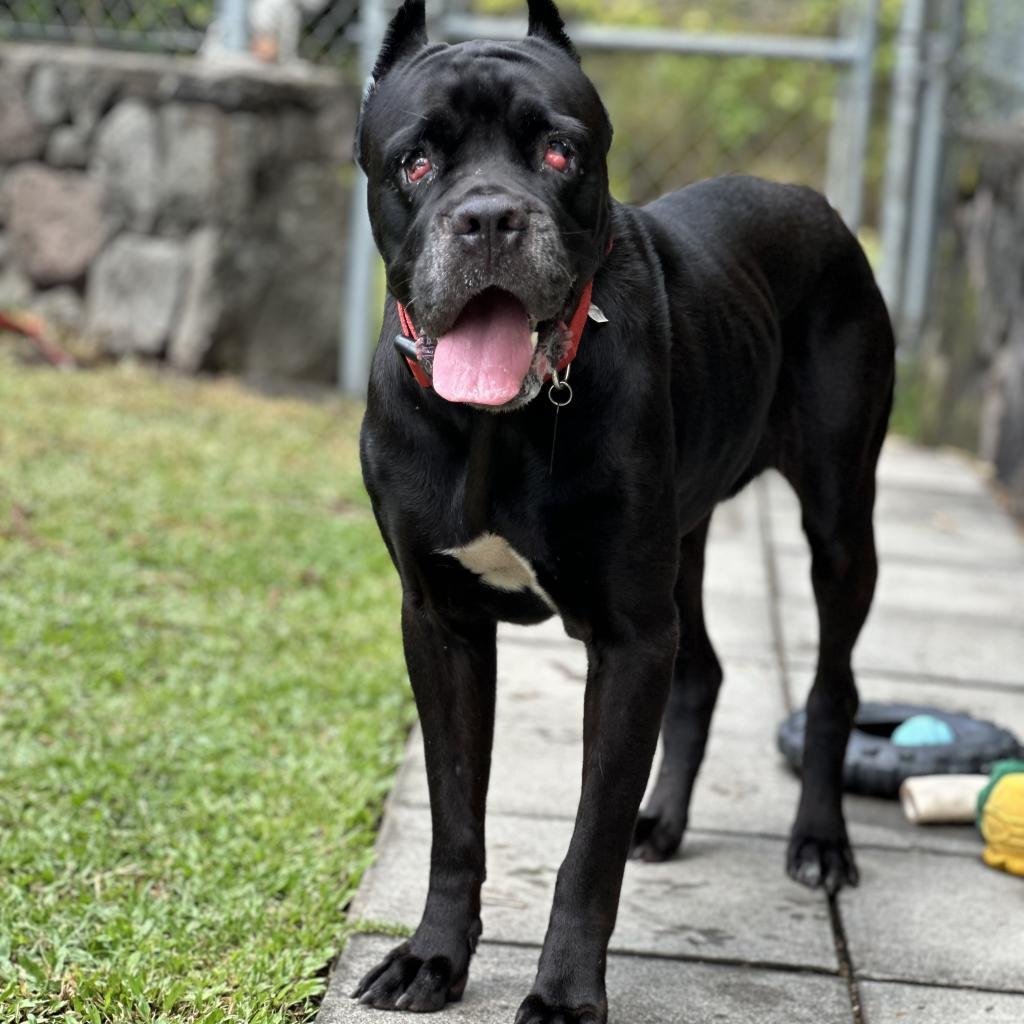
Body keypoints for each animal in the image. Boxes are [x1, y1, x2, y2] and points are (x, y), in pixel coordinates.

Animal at [350, 4, 888, 1019]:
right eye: (417, 161)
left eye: (560, 152)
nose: (490, 218)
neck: (499, 426)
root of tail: (818, 204)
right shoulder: (440, 624)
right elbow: (454, 815)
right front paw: (433, 957)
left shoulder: (630, 636)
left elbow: (588, 846)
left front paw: (564, 993)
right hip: (685, 543)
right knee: (705, 671)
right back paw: (663, 819)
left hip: (840, 524)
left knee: (833, 685)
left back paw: (819, 843)